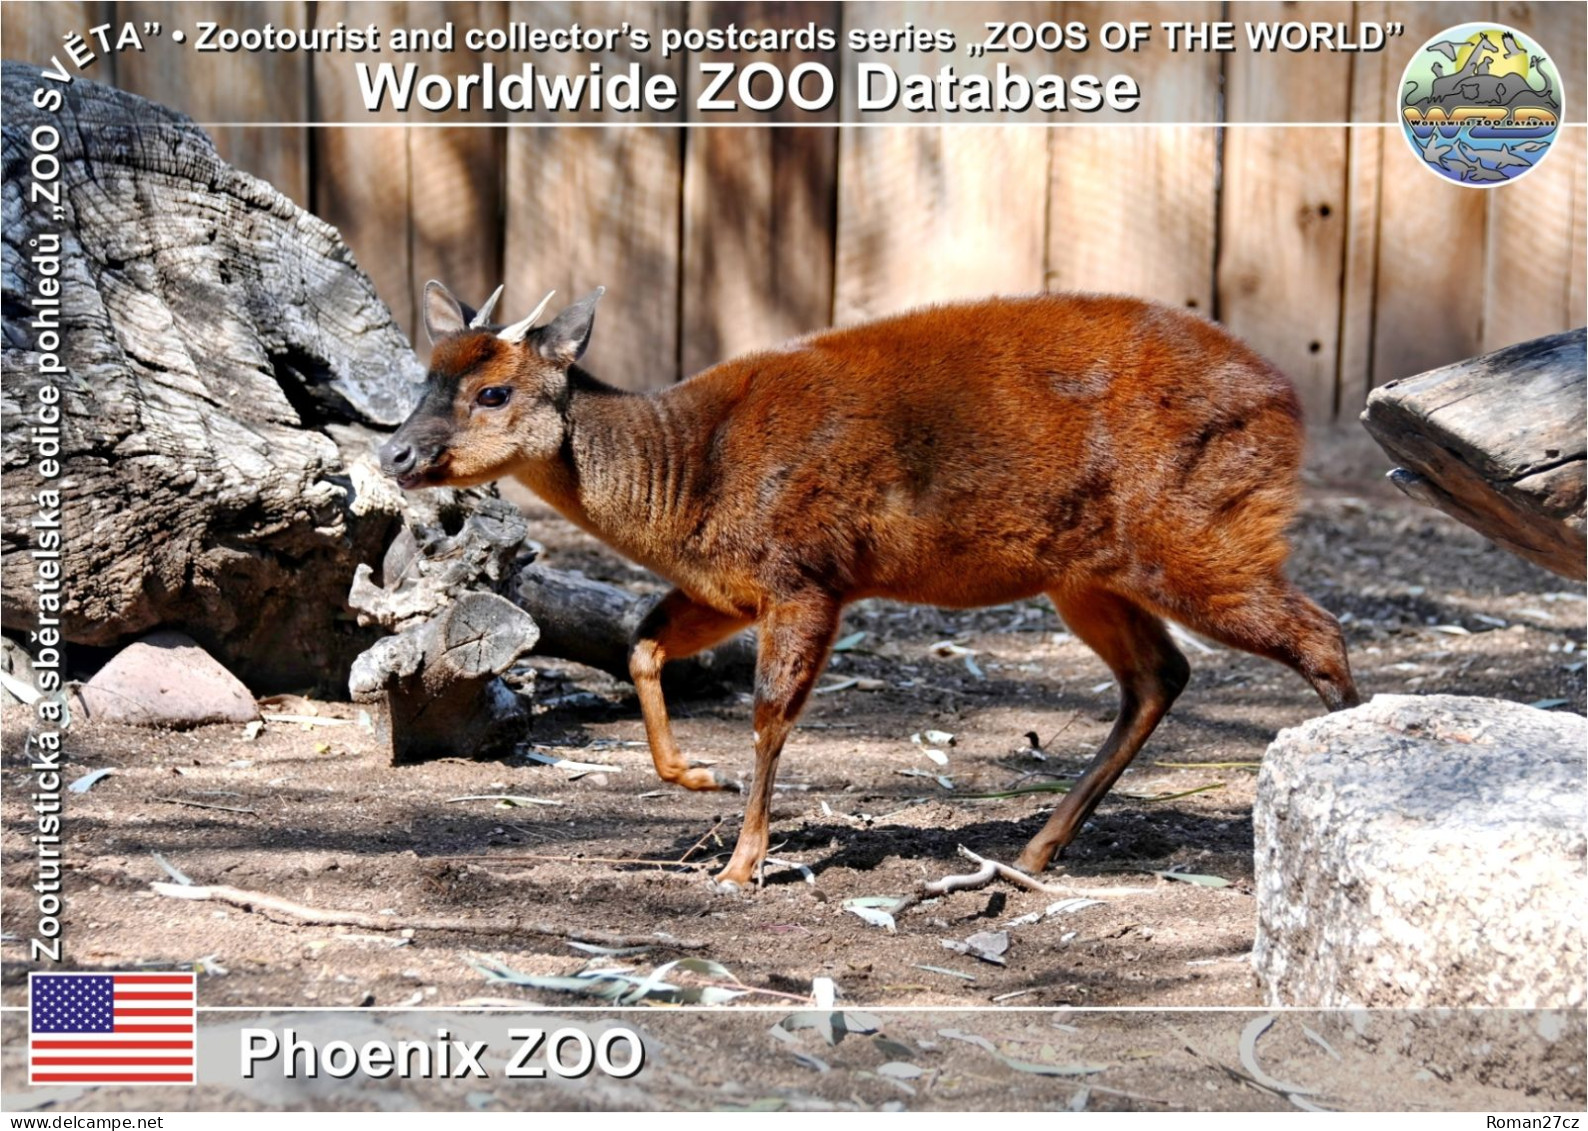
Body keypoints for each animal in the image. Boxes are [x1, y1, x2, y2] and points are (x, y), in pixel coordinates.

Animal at [377, 281, 1359, 883]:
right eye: (423, 377)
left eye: (495, 391)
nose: (395, 453)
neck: (689, 478)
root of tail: (1289, 404)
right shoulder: (730, 588)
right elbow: (645, 646)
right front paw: (695, 777)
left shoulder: (807, 573)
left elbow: (770, 714)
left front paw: (740, 864)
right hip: (1087, 573)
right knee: (1160, 674)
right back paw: (1034, 850)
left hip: (1200, 533)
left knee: (1319, 633)